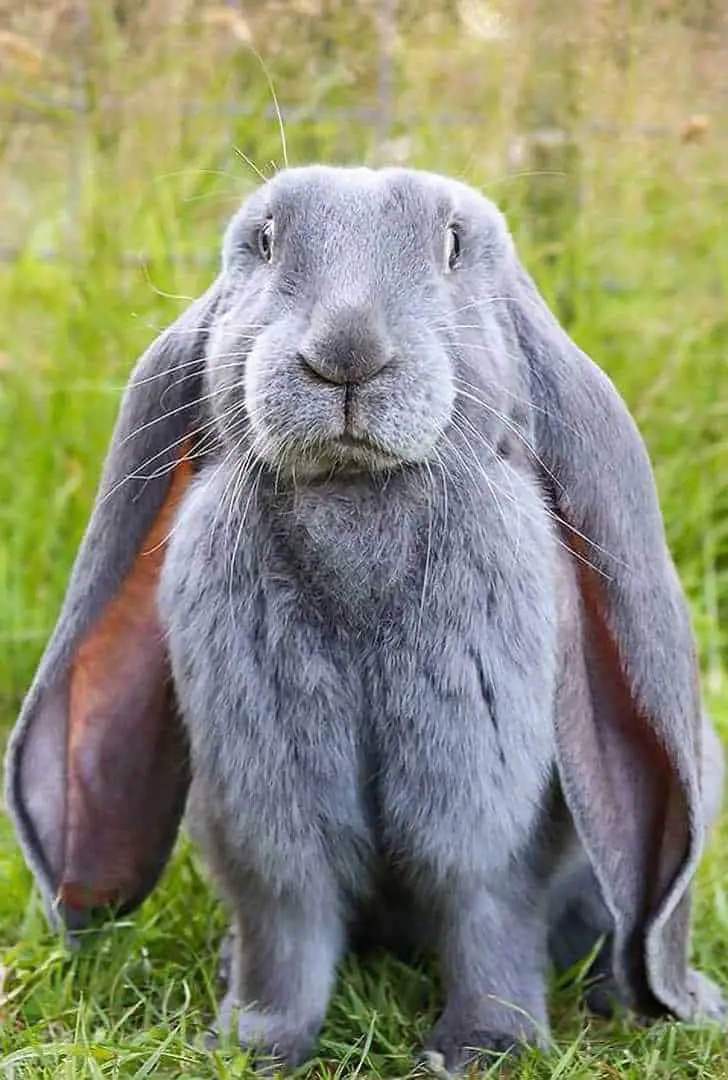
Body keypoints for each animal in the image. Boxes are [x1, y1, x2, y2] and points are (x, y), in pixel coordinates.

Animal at [5, 164, 725, 1075]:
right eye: (265, 241)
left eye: (453, 246)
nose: (346, 352)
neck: (356, 496)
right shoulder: (270, 804)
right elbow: (288, 928)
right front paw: (251, 1045)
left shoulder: (482, 802)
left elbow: (484, 914)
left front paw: (483, 1049)